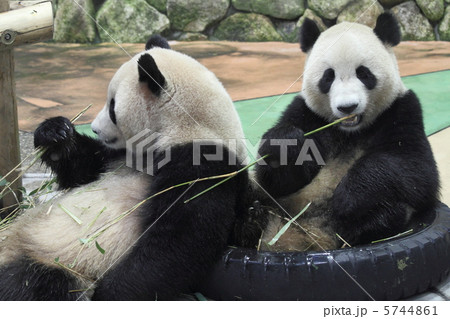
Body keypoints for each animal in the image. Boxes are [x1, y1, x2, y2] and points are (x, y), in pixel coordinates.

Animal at [253, 12, 440, 252]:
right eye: (328, 77)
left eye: (363, 73)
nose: (347, 107)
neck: (350, 131)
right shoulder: (306, 113)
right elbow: (277, 180)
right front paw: (288, 144)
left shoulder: (402, 111)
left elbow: (415, 169)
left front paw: (349, 196)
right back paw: (252, 216)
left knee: (388, 212)